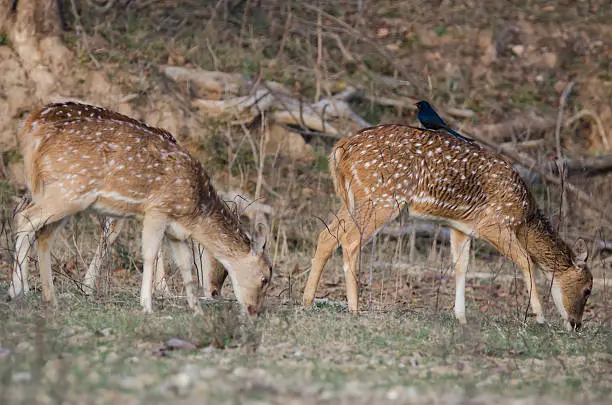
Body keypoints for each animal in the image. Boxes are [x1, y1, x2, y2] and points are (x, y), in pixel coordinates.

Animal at [8, 102, 272, 316]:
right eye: (264, 279)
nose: (215, 292)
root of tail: (29, 125)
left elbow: (177, 259)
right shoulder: (151, 209)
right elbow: (141, 247)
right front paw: (153, 297)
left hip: (48, 189)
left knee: (31, 220)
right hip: (66, 191)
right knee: (25, 217)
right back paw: (19, 289)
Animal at [304, 124, 592, 330]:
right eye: (588, 289)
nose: (576, 325)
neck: (524, 216)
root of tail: (340, 149)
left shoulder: (461, 228)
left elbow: (460, 266)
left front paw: (461, 316)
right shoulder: (493, 222)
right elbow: (526, 260)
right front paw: (540, 316)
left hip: (354, 199)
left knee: (326, 235)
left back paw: (307, 301)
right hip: (380, 197)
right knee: (350, 241)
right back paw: (354, 308)